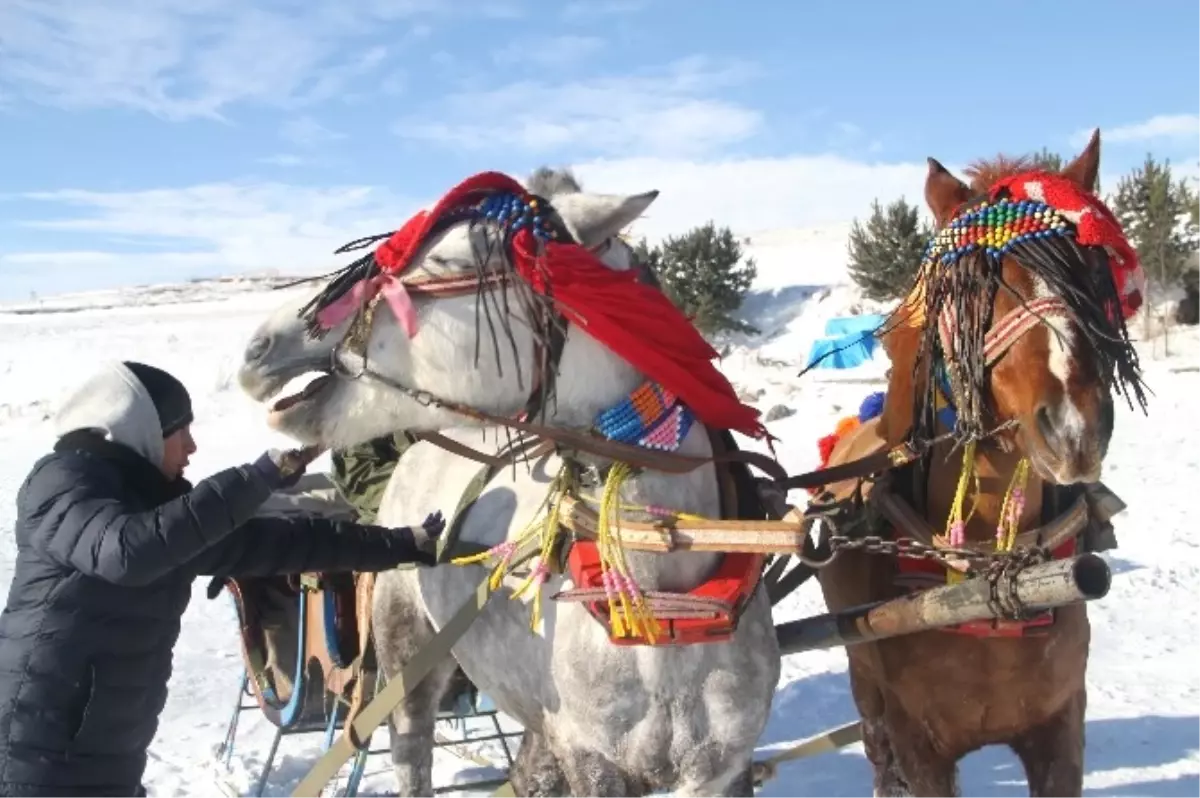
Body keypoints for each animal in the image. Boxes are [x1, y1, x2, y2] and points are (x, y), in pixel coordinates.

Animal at [237, 177, 782, 792]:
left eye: (444, 262)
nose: (258, 348)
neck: (662, 607)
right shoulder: (591, 758)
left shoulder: (719, 769)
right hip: (407, 662)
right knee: (412, 753)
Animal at [816, 132, 1142, 796]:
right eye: (970, 289)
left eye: (1092, 275)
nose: (1074, 426)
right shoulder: (920, 746)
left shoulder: (1061, 728)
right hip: (864, 680)